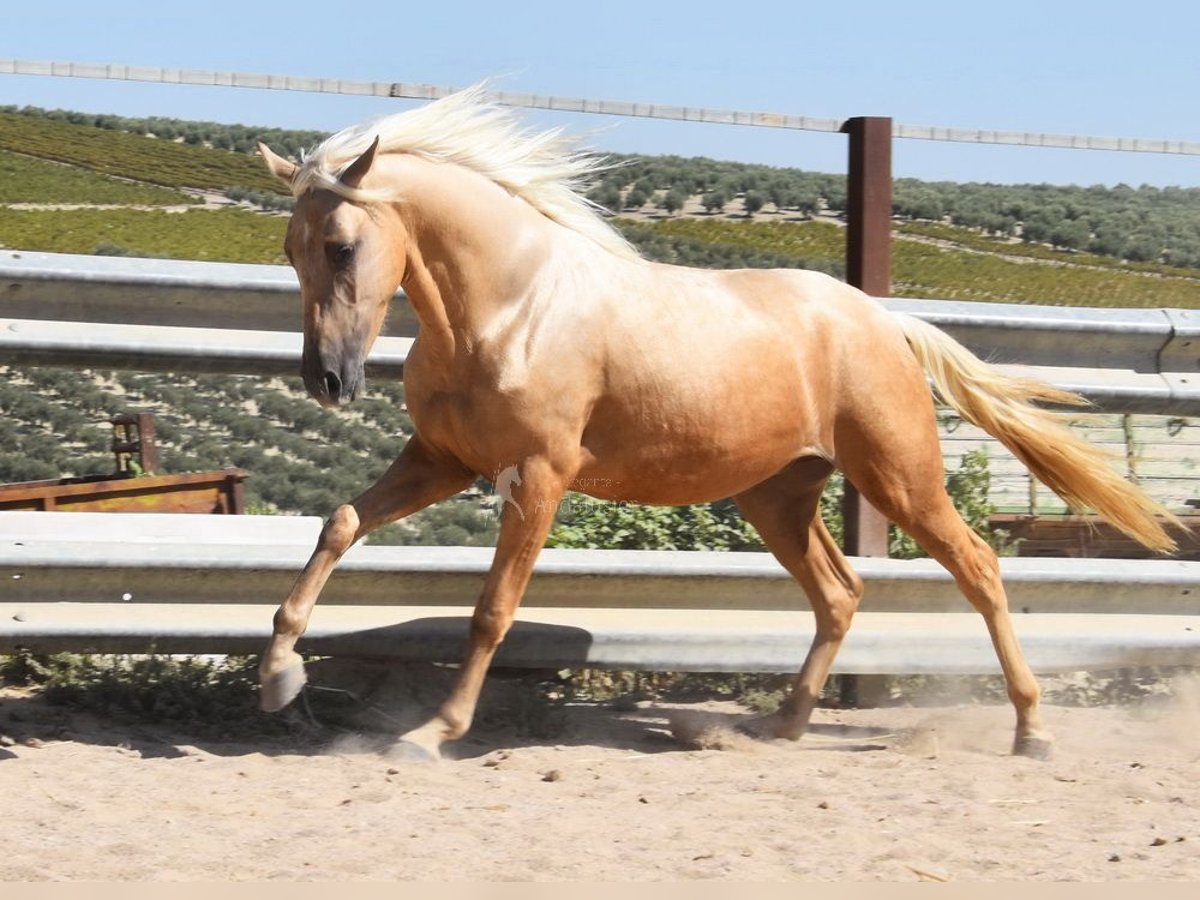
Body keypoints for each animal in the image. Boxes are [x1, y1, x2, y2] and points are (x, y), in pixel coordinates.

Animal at [255, 82, 1180, 763]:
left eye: (342, 245)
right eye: (292, 251)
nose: (327, 380)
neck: (510, 307)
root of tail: (883, 320)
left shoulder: (540, 475)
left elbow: (492, 610)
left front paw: (432, 732)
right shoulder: (442, 459)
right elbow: (340, 523)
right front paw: (280, 679)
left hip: (900, 475)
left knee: (980, 569)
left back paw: (1032, 730)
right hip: (779, 496)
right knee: (840, 594)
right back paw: (779, 725)